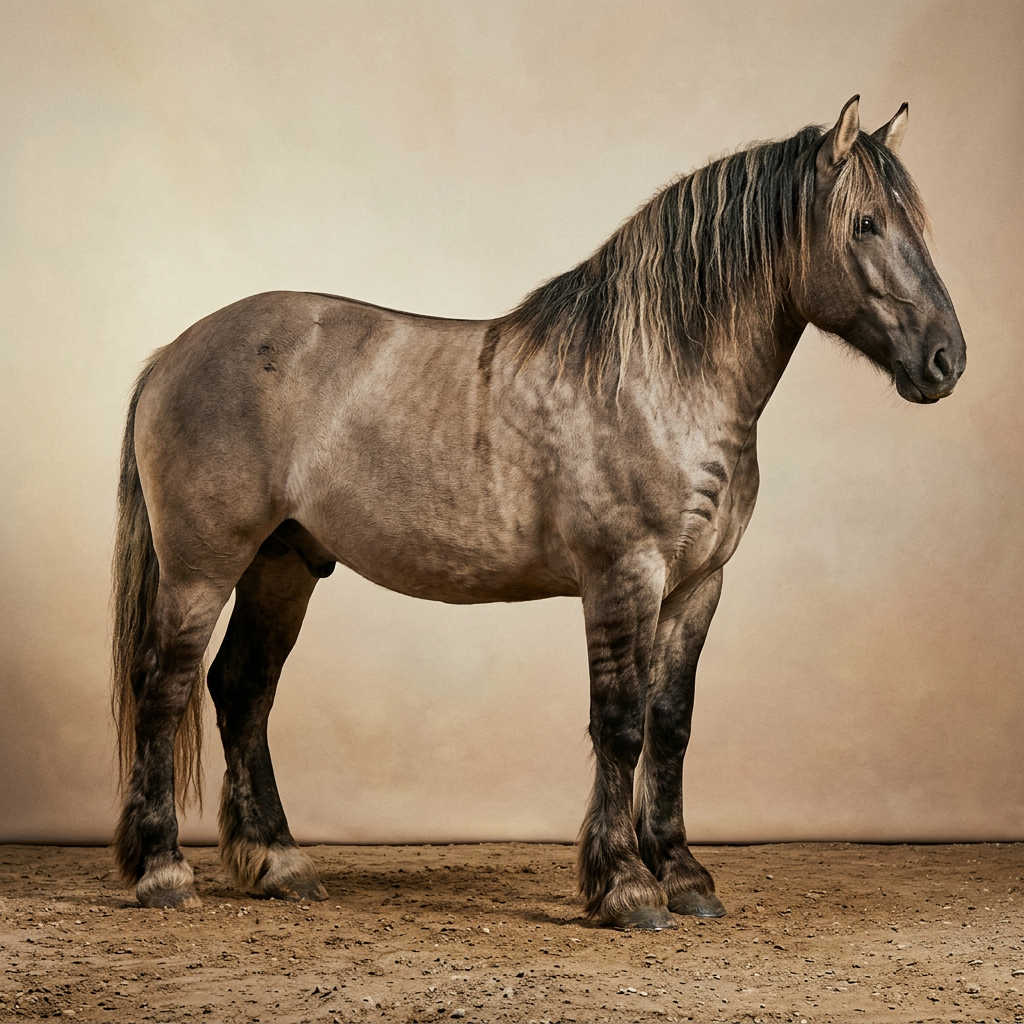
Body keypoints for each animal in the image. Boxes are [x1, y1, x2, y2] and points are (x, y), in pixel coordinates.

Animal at [111, 96, 965, 929]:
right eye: (866, 223)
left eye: (913, 221)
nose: (946, 360)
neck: (658, 379)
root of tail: (171, 355)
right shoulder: (624, 577)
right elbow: (620, 723)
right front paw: (626, 887)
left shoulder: (698, 587)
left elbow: (672, 726)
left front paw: (684, 877)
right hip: (203, 568)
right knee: (164, 688)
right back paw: (162, 872)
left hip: (283, 562)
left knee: (243, 689)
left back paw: (279, 864)